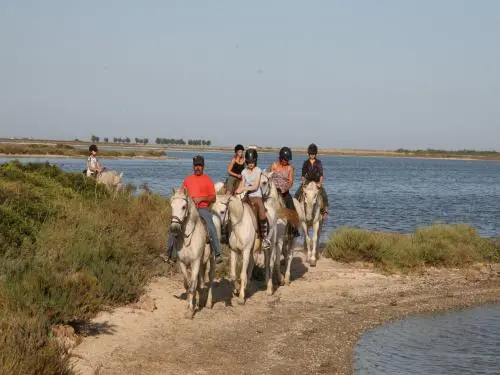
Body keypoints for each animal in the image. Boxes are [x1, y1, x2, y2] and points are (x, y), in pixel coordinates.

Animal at [170, 188, 217, 318]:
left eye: (184, 207)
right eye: (171, 205)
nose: (174, 228)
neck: (187, 238)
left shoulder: (195, 262)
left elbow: (192, 286)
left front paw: (190, 311)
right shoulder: (182, 262)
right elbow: (188, 284)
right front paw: (190, 305)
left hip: (212, 260)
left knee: (210, 279)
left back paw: (208, 303)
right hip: (202, 262)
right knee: (200, 281)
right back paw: (200, 301)